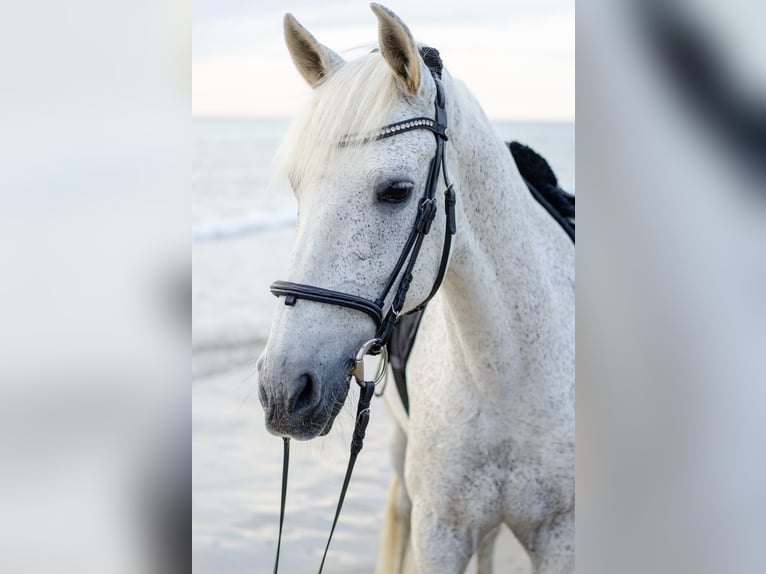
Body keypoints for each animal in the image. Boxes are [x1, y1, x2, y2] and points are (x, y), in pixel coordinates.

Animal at [256, 4, 574, 573]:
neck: (509, 372)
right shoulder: (439, 531)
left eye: (397, 191)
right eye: (298, 187)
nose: (283, 391)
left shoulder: (561, 535)